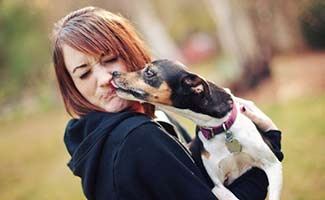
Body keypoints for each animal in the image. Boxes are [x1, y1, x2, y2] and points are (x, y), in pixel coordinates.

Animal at [110, 58, 280, 199]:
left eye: (149, 72)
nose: (114, 73)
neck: (222, 129)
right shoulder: (217, 186)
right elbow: (230, 196)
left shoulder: (272, 165)